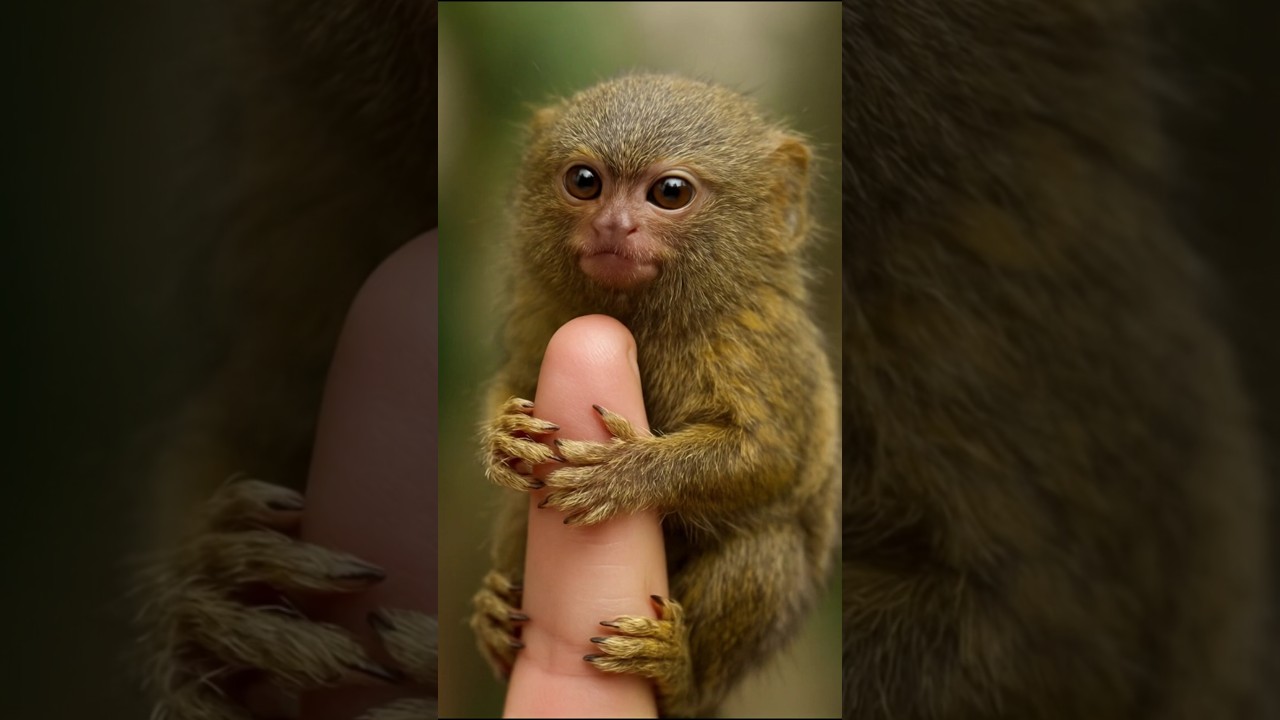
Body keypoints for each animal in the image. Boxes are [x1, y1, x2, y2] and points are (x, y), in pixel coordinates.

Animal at [467, 73, 840, 718]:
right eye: (584, 181)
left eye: (670, 192)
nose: (615, 227)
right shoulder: (539, 312)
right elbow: (515, 383)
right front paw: (502, 439)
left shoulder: (759, 345)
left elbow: (771, 458)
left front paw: (627, 473)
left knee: (770, 549)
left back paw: (679, 674)